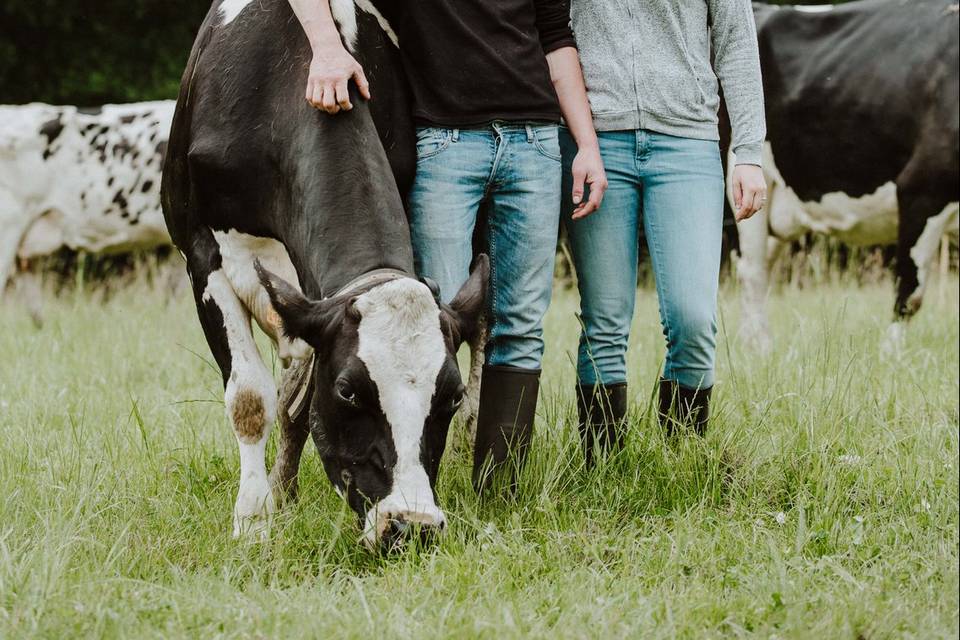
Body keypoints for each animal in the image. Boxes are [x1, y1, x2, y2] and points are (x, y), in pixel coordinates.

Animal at [732, 0, 956, 352]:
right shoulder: (923, 188)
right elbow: (910, 290)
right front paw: (890, 354)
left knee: (761, 266)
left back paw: (750, 345)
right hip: (746, 182)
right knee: (752, 271)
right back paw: (763, 351)